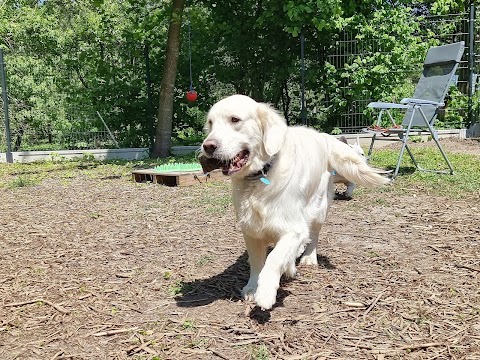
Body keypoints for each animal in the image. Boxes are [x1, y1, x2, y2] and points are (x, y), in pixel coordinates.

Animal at [199, 95, 390, 310]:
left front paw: (265, 292)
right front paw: (253, 286)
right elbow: (256, 261)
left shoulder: (293, 228)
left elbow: (274, 258)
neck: (261, 177)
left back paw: (308, 257)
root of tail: (322, 136)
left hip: (318, 209)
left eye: (234, 119)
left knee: (313, 236)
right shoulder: (251, 230)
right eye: (210, 123)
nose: (208, 146)